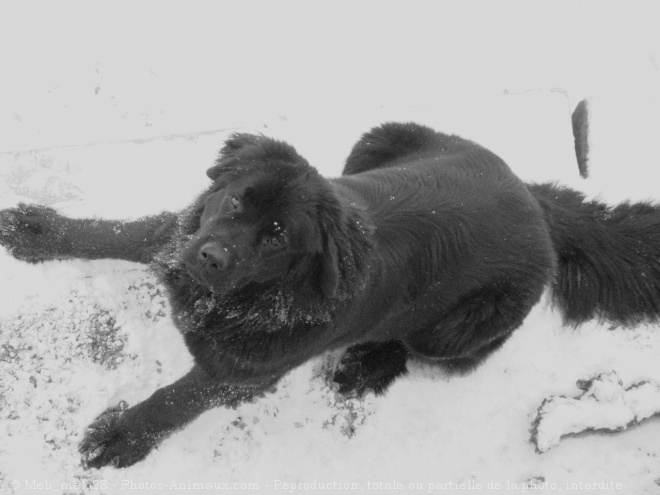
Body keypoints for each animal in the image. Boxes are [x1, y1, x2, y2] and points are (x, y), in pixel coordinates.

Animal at [1, 124, 660, 468]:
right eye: (236, 199)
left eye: (277, 235)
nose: (211, 258)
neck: (250, 294)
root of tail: (539, 206)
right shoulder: (178, 240)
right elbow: (118, 231)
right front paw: (37, 231)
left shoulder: (243, 372)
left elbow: (177, 398)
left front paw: (122, 435)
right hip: (378, 138)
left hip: (454, 329)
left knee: (422, 348)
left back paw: (366, 366)